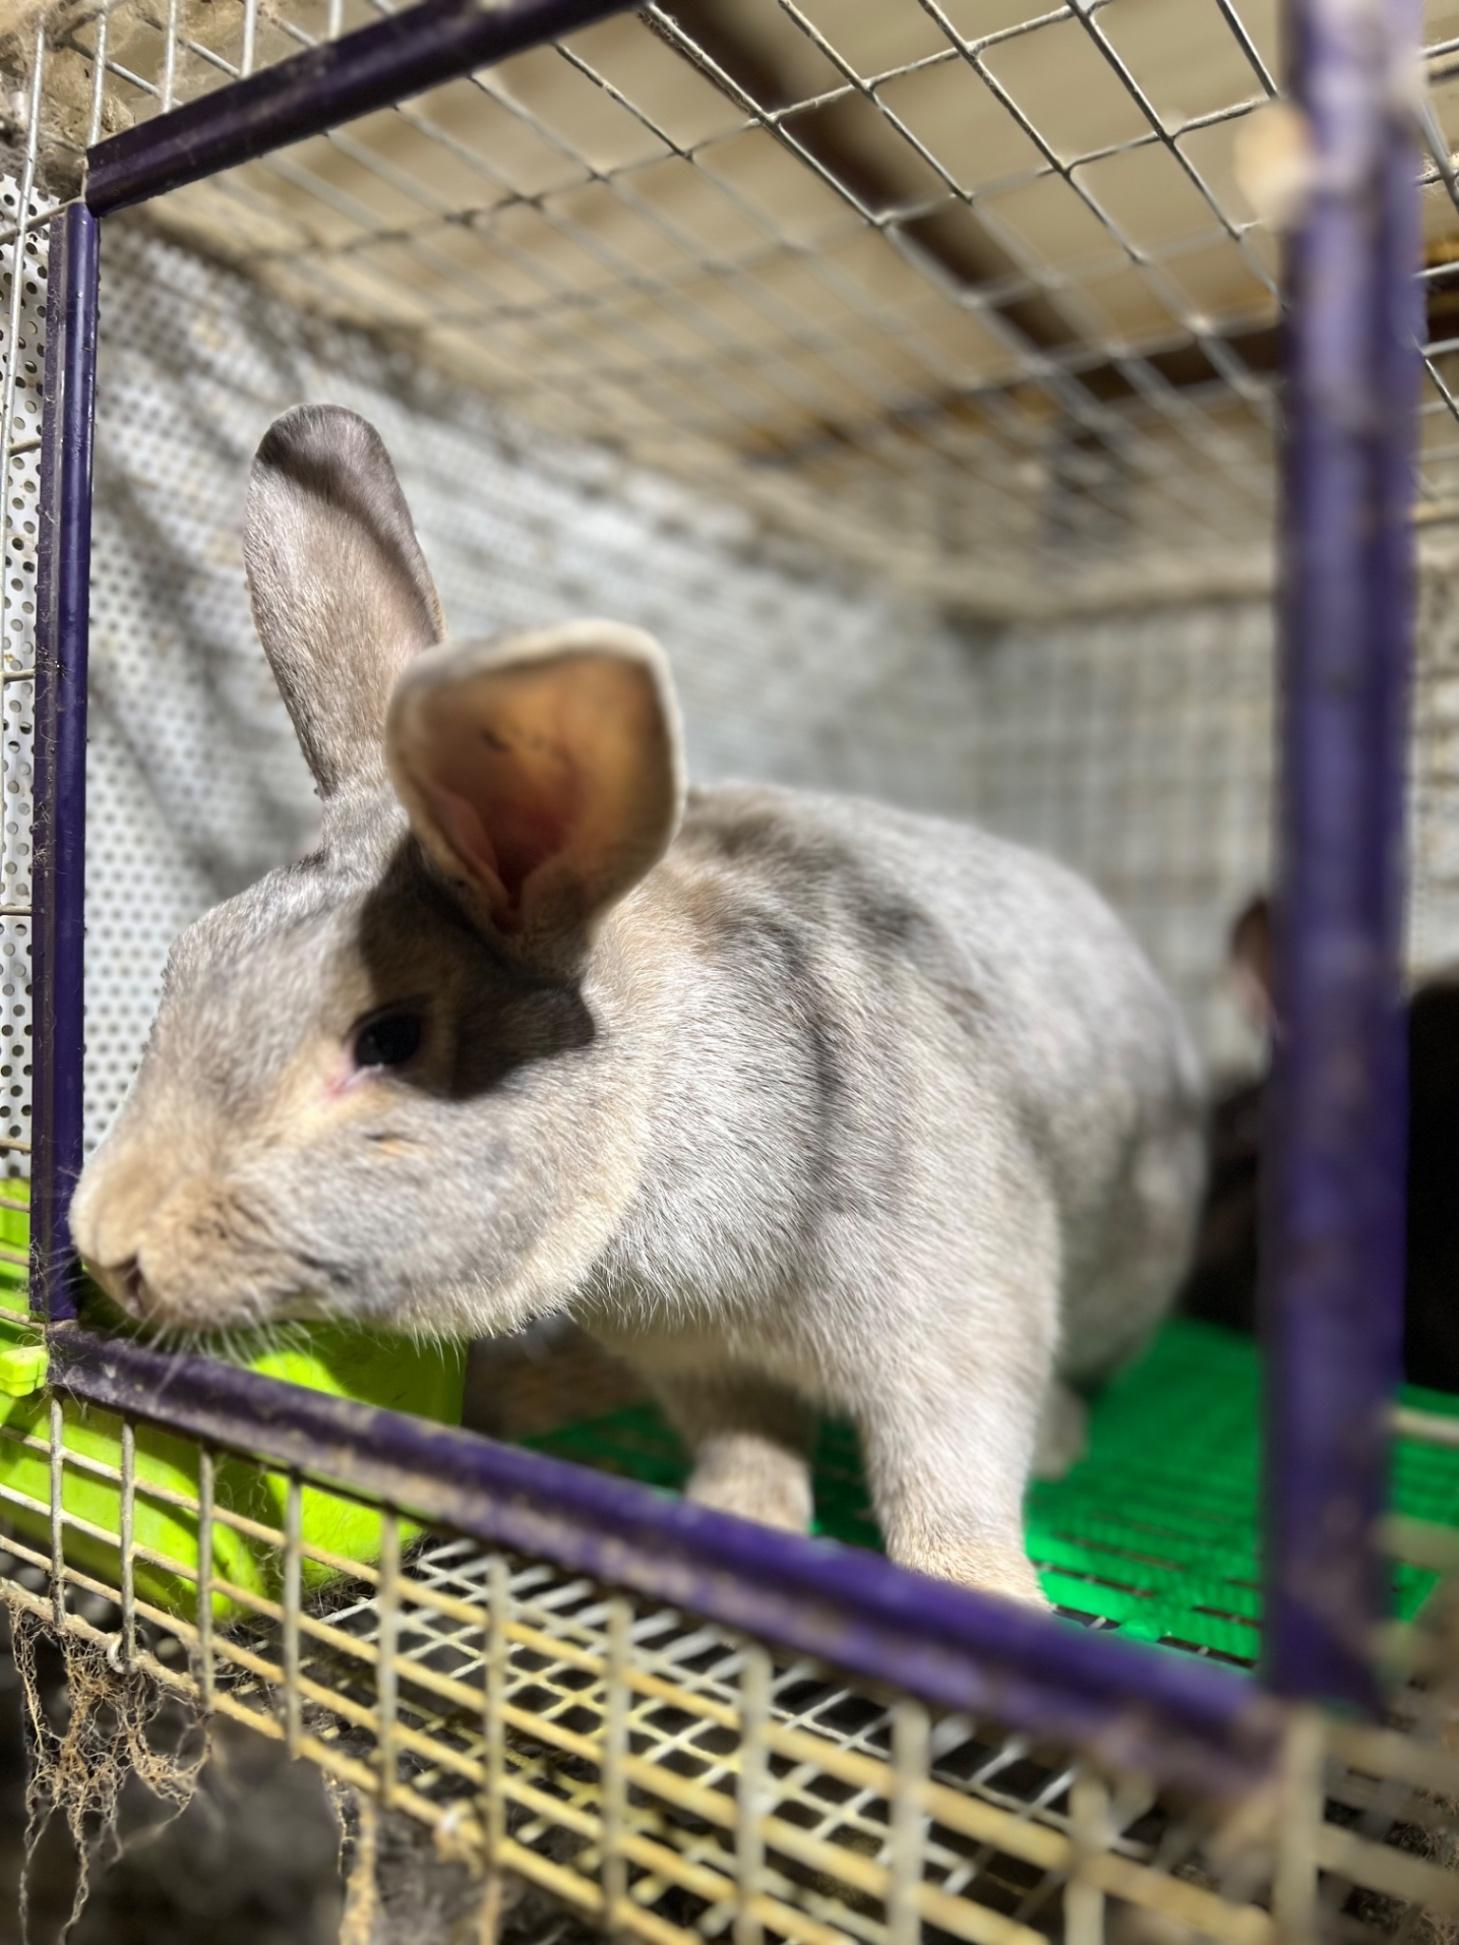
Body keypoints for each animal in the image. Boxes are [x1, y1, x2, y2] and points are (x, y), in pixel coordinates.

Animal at [69, 404, 1205, 1607]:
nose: (105, 1243)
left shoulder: (955, 1320)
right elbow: (747, 1445)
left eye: (388, 1037)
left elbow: (947, 1476)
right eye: (187, 955)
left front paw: (982, 1588)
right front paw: (734, 1521)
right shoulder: (701, 1359)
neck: (662, 1092)